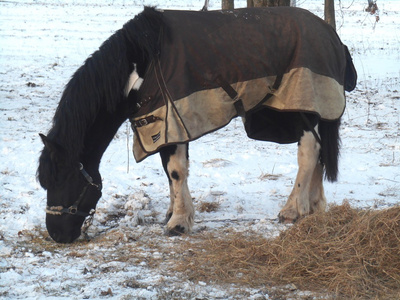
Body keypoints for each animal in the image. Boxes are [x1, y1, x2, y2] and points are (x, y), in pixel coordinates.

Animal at [36, 5, 356, 243]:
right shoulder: (168, 124)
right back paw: (314, 207)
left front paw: (178, 223)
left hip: (304, 105)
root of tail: (332, 36)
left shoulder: (170, 118)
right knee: (320, 154)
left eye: (62, 179)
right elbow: (169, 171)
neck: (142, 62)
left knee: (309, 154)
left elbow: (176, 171)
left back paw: (292, 209)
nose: (56, 235)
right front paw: (174, 214)